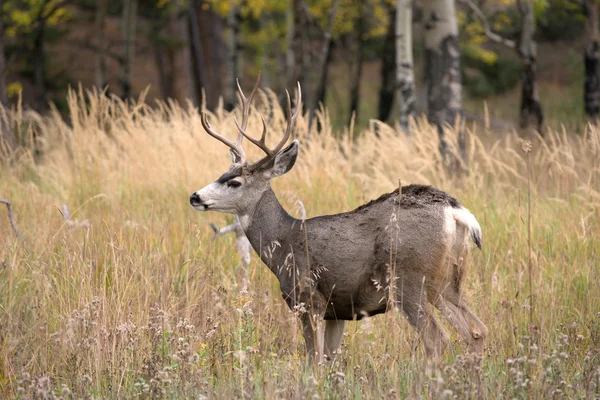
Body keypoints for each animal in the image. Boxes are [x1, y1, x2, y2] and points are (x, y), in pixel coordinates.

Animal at [190, 76, 490, 366]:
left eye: (235, 182)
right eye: (222, 173)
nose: (195, 196)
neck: (284, 241)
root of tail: (455, 211)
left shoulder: (309, 298)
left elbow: (313, 360)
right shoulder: (338, 311)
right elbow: (330, 359)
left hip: (410, 278)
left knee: (437, 339)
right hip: (448, 280)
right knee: (476, 330)